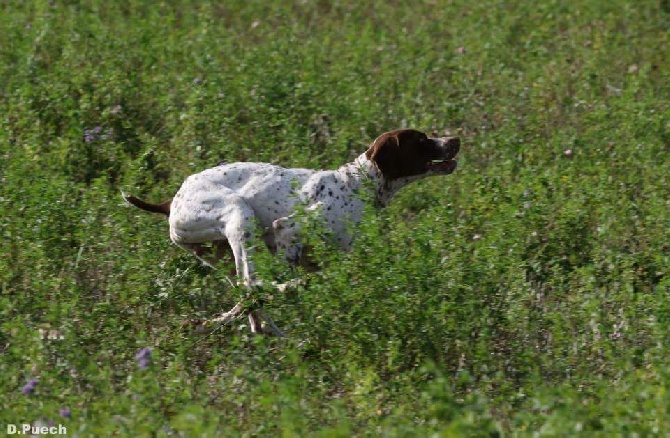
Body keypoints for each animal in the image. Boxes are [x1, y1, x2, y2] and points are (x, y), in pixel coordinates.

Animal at [124, 129, 462, 336]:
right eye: (421, 140)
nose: (455, 139)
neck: (357, 185)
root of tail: (172, 200)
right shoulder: (287, 230)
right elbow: (275, 285)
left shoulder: (321, 262)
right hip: (239, 213)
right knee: (253, 285)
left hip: (221, 251)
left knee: (248, 296)